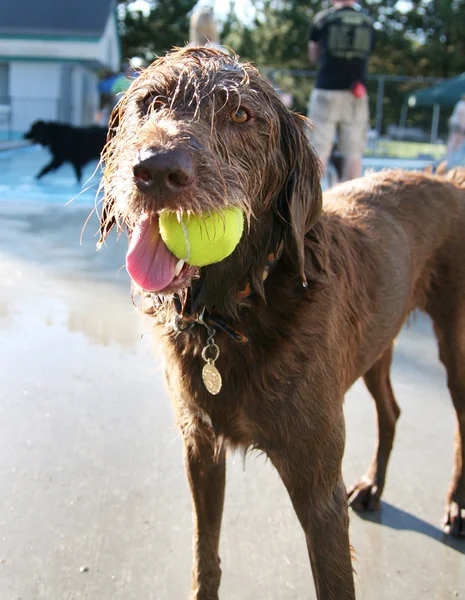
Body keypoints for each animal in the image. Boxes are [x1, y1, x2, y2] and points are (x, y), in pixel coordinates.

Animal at [99, 48, 464, 600]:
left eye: (241, 115)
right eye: (152, 101)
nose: (154, 171)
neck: (235, 311)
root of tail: (446, 177)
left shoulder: (319, 492)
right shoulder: (201, 448)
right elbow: (205, 554)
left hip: (455, 347)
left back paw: (456, 504)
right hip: (378, 345)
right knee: (392, 410)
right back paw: (374, 485)